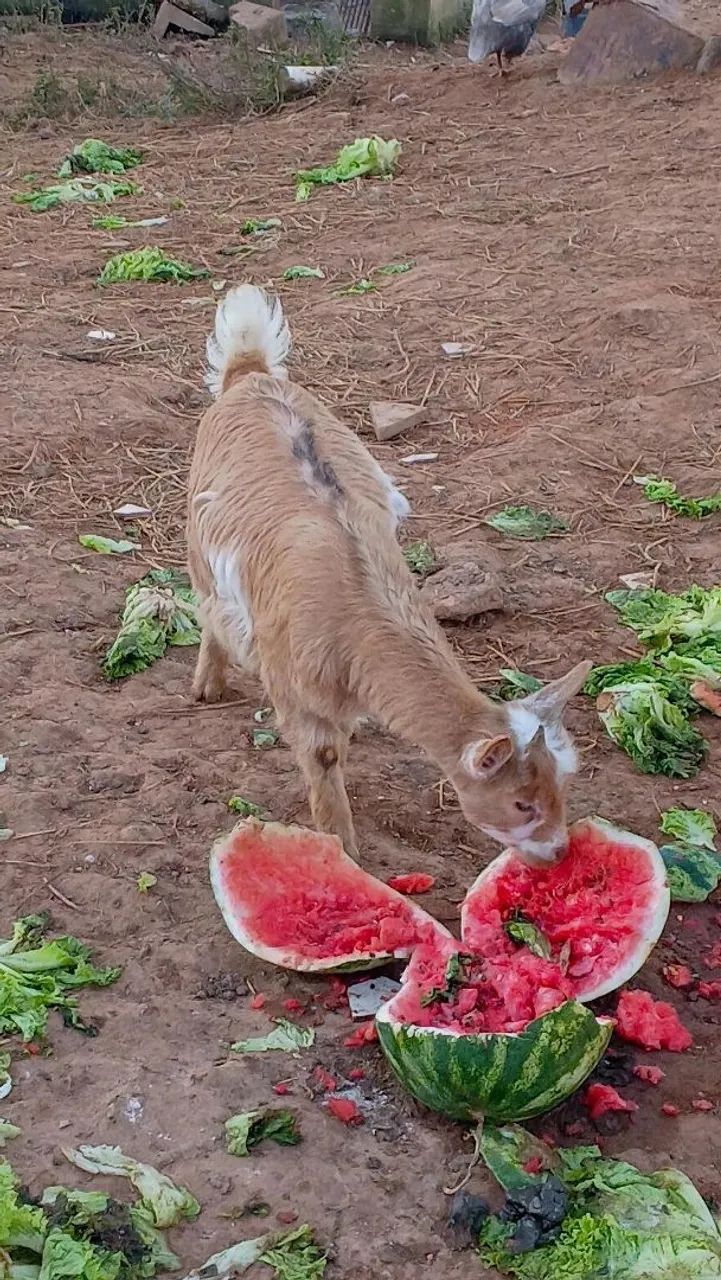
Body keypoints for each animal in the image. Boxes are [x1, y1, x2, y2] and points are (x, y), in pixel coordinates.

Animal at [187, 284, 591, 864]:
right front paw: (343, 851)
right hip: (200, 539)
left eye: (564, 783)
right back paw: (208, 684)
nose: (558, 853)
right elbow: (323, 757)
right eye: (520, 803)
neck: (358, 608)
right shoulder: (293, 683)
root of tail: (250, 372)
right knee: (207, 606)